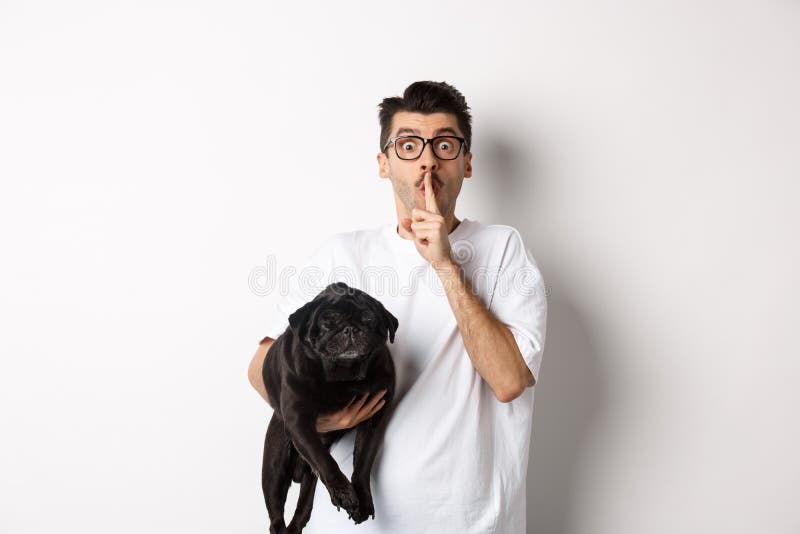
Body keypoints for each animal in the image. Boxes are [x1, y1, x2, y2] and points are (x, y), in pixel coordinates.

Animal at [262, 282, 396, 532]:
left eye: (369, 319)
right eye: (328, 322)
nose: (351, 329)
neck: (343, 377)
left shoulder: (372, 422)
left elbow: (362, 463)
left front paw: (362, 498)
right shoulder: (298, 421)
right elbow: (325, 460)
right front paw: (345, 494)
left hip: (308, 480)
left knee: (304, 505)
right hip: (274, 470)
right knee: (275, 517)